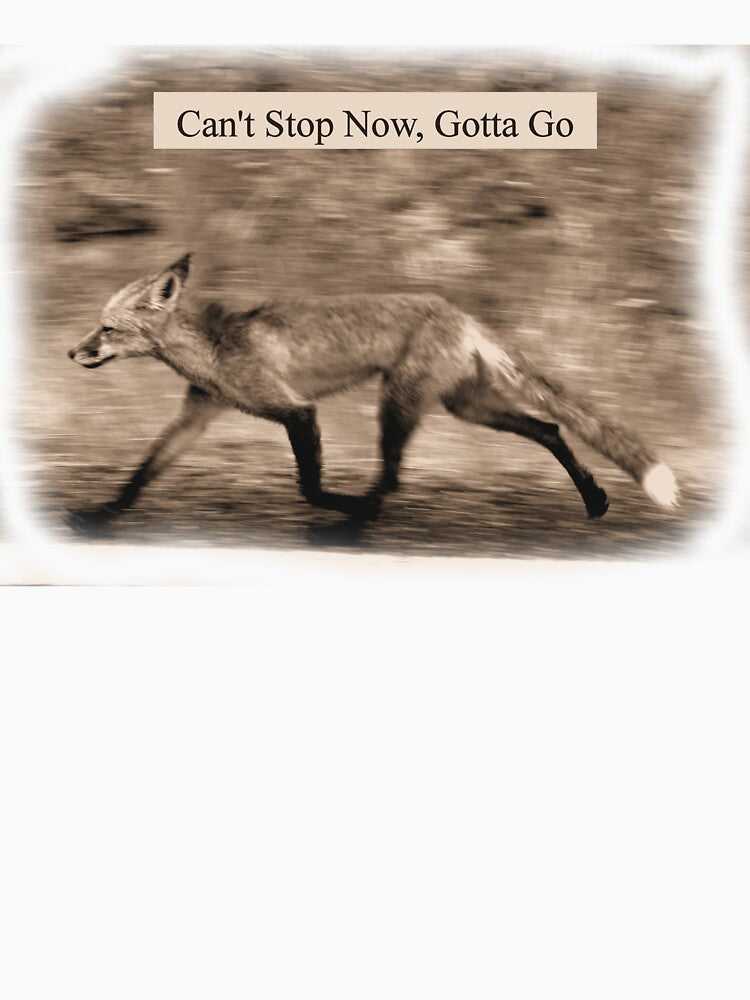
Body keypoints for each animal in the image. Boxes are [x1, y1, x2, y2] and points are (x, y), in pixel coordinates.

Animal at [66, 253, 679, 531]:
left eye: (107, 329)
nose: (72, 353)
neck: (213, 347)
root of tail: (460, 313)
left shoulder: (296, 410)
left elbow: (310, 486)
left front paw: (338, 506)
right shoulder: (198, 415)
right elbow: (144, 470)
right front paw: (102, 514)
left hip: (401, 403)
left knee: (393, 476)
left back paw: (356, 521)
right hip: (468, 406)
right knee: (550, 427)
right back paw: (594, 498)